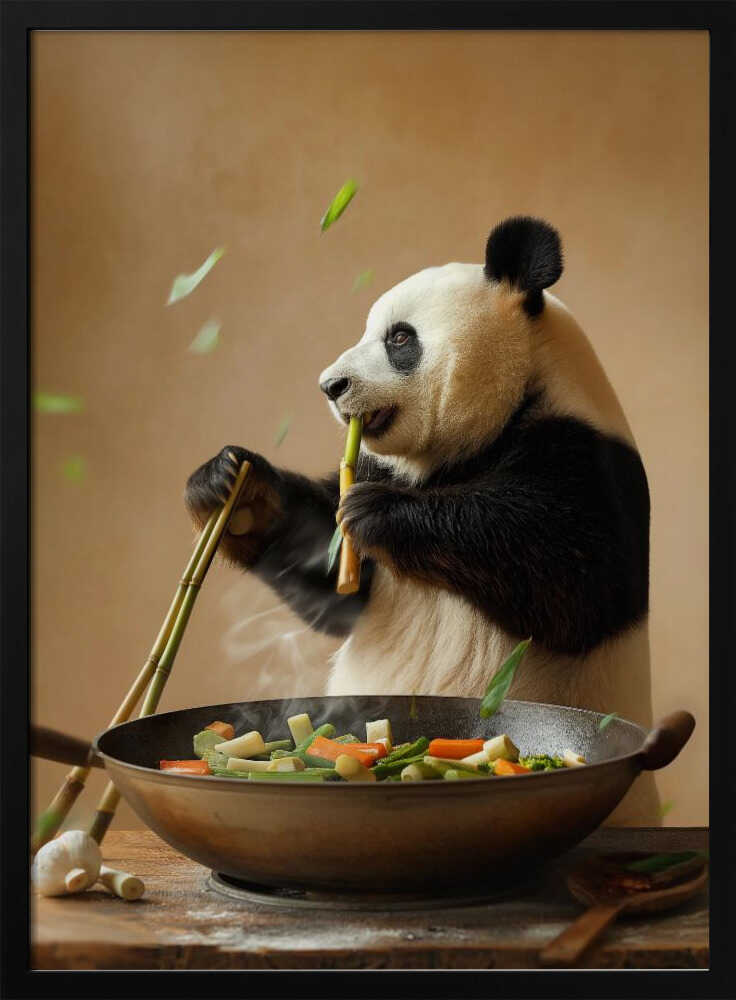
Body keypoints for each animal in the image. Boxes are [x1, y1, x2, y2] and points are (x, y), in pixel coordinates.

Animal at [185, 217, 660, 825]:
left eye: (399, 338)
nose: (331, 386)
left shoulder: (589, 460)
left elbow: (570, 579)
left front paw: (378, 512)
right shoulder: (377, 463)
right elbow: (334, 579)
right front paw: (235, 489)